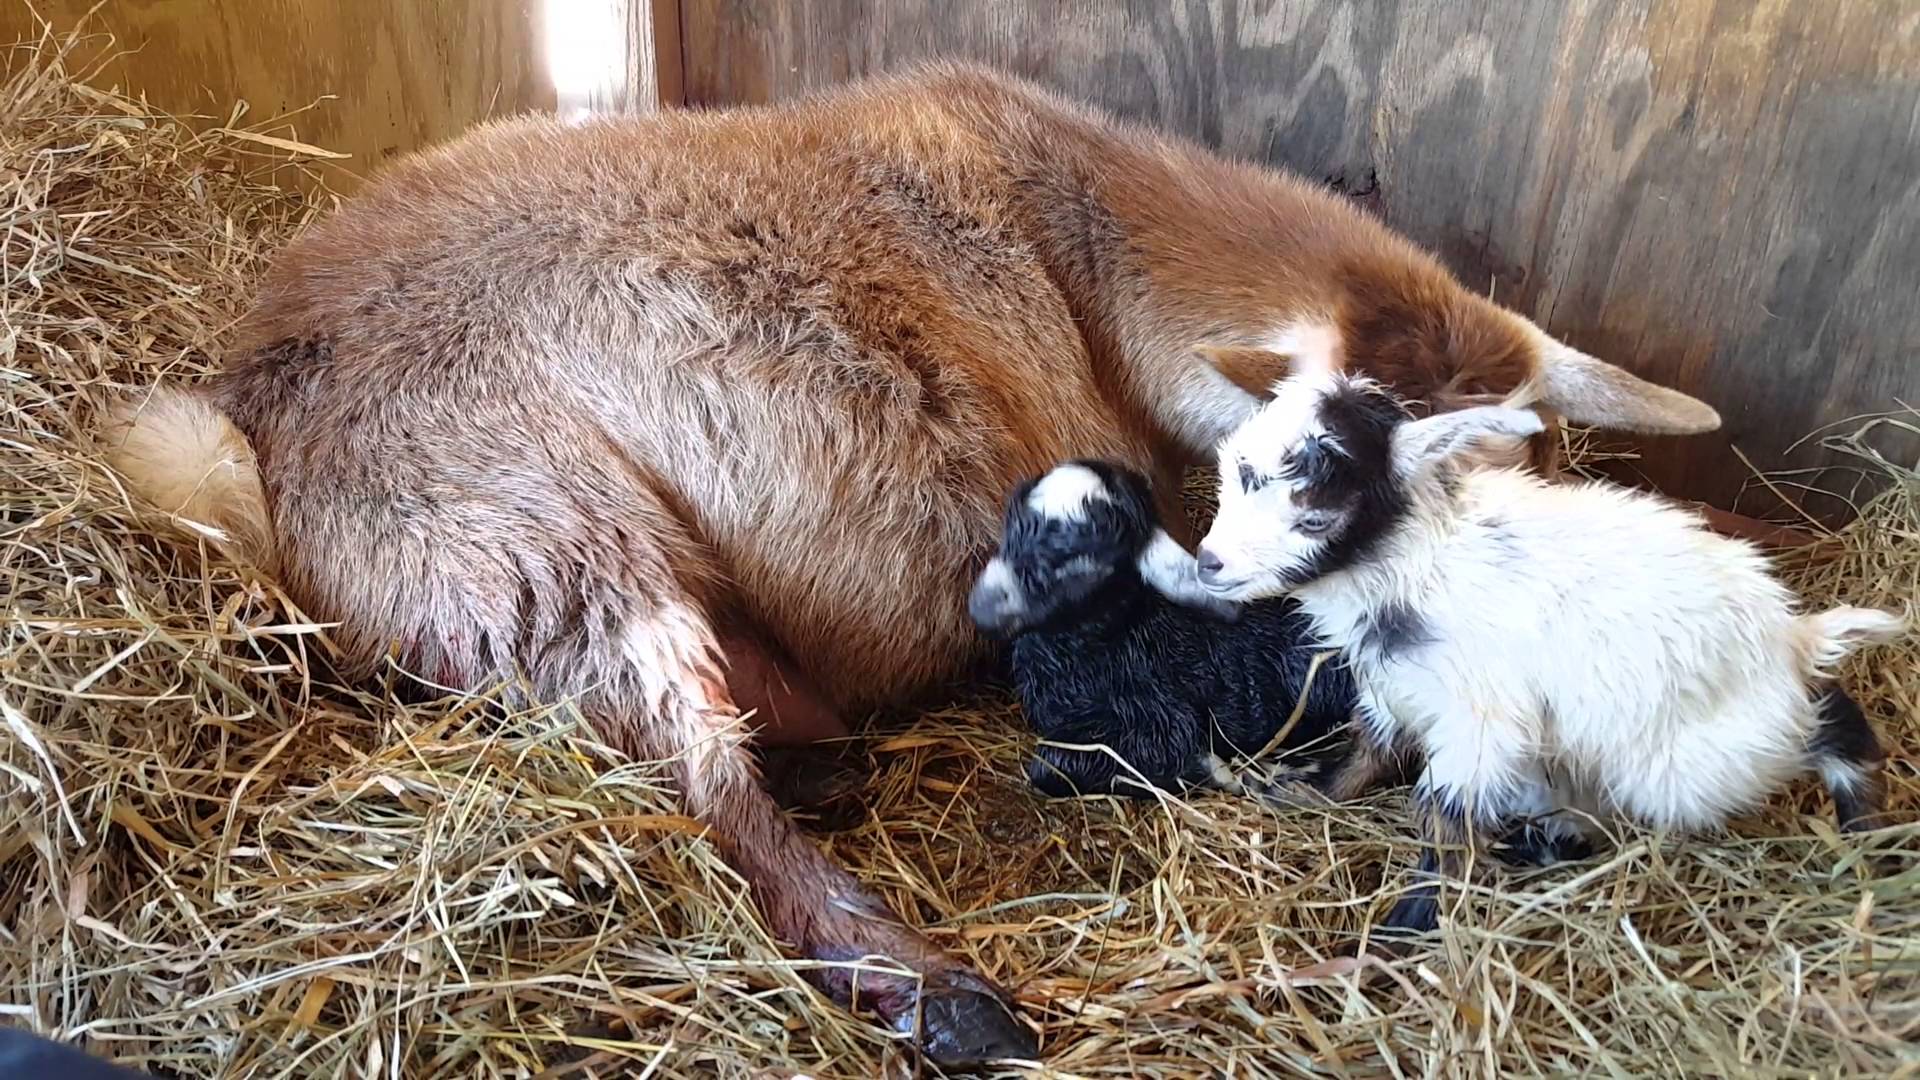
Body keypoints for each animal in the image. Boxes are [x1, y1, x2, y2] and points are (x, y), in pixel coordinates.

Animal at [967, 459, 1372, 802]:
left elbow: (1049, 767)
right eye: (1010, 532)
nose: (981, 609)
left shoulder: (1163, 720)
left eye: (1083, 560)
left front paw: (1220, 772)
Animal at [1185, 358, 1904, 935]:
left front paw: (1409, 924)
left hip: (1690, 762)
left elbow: (1444, 818)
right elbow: (1369, 748)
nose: (1209, 563)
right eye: (1228, 472)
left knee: (1822, 727)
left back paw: (1862, 826)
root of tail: (1793, 637)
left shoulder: (1482, 722)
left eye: (1315, 517)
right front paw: (1304, 790)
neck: (1419, 562)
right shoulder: (1395, 687)